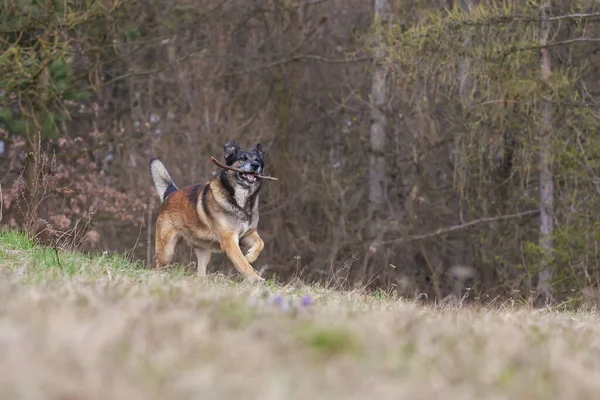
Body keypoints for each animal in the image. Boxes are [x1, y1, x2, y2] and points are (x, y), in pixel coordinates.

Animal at [149, 140, 266, 282]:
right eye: (242, 158)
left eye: (258, 160)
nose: (255, 165)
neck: (241, 201)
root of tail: (170, 193)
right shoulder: (229, 241)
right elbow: (242, 263)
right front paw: (255, 278)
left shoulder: (247, 235)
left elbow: (261, 243)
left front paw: (250, 256)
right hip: (167, 251)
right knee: (159, 266)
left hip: (204, 252)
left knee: (200, 273)